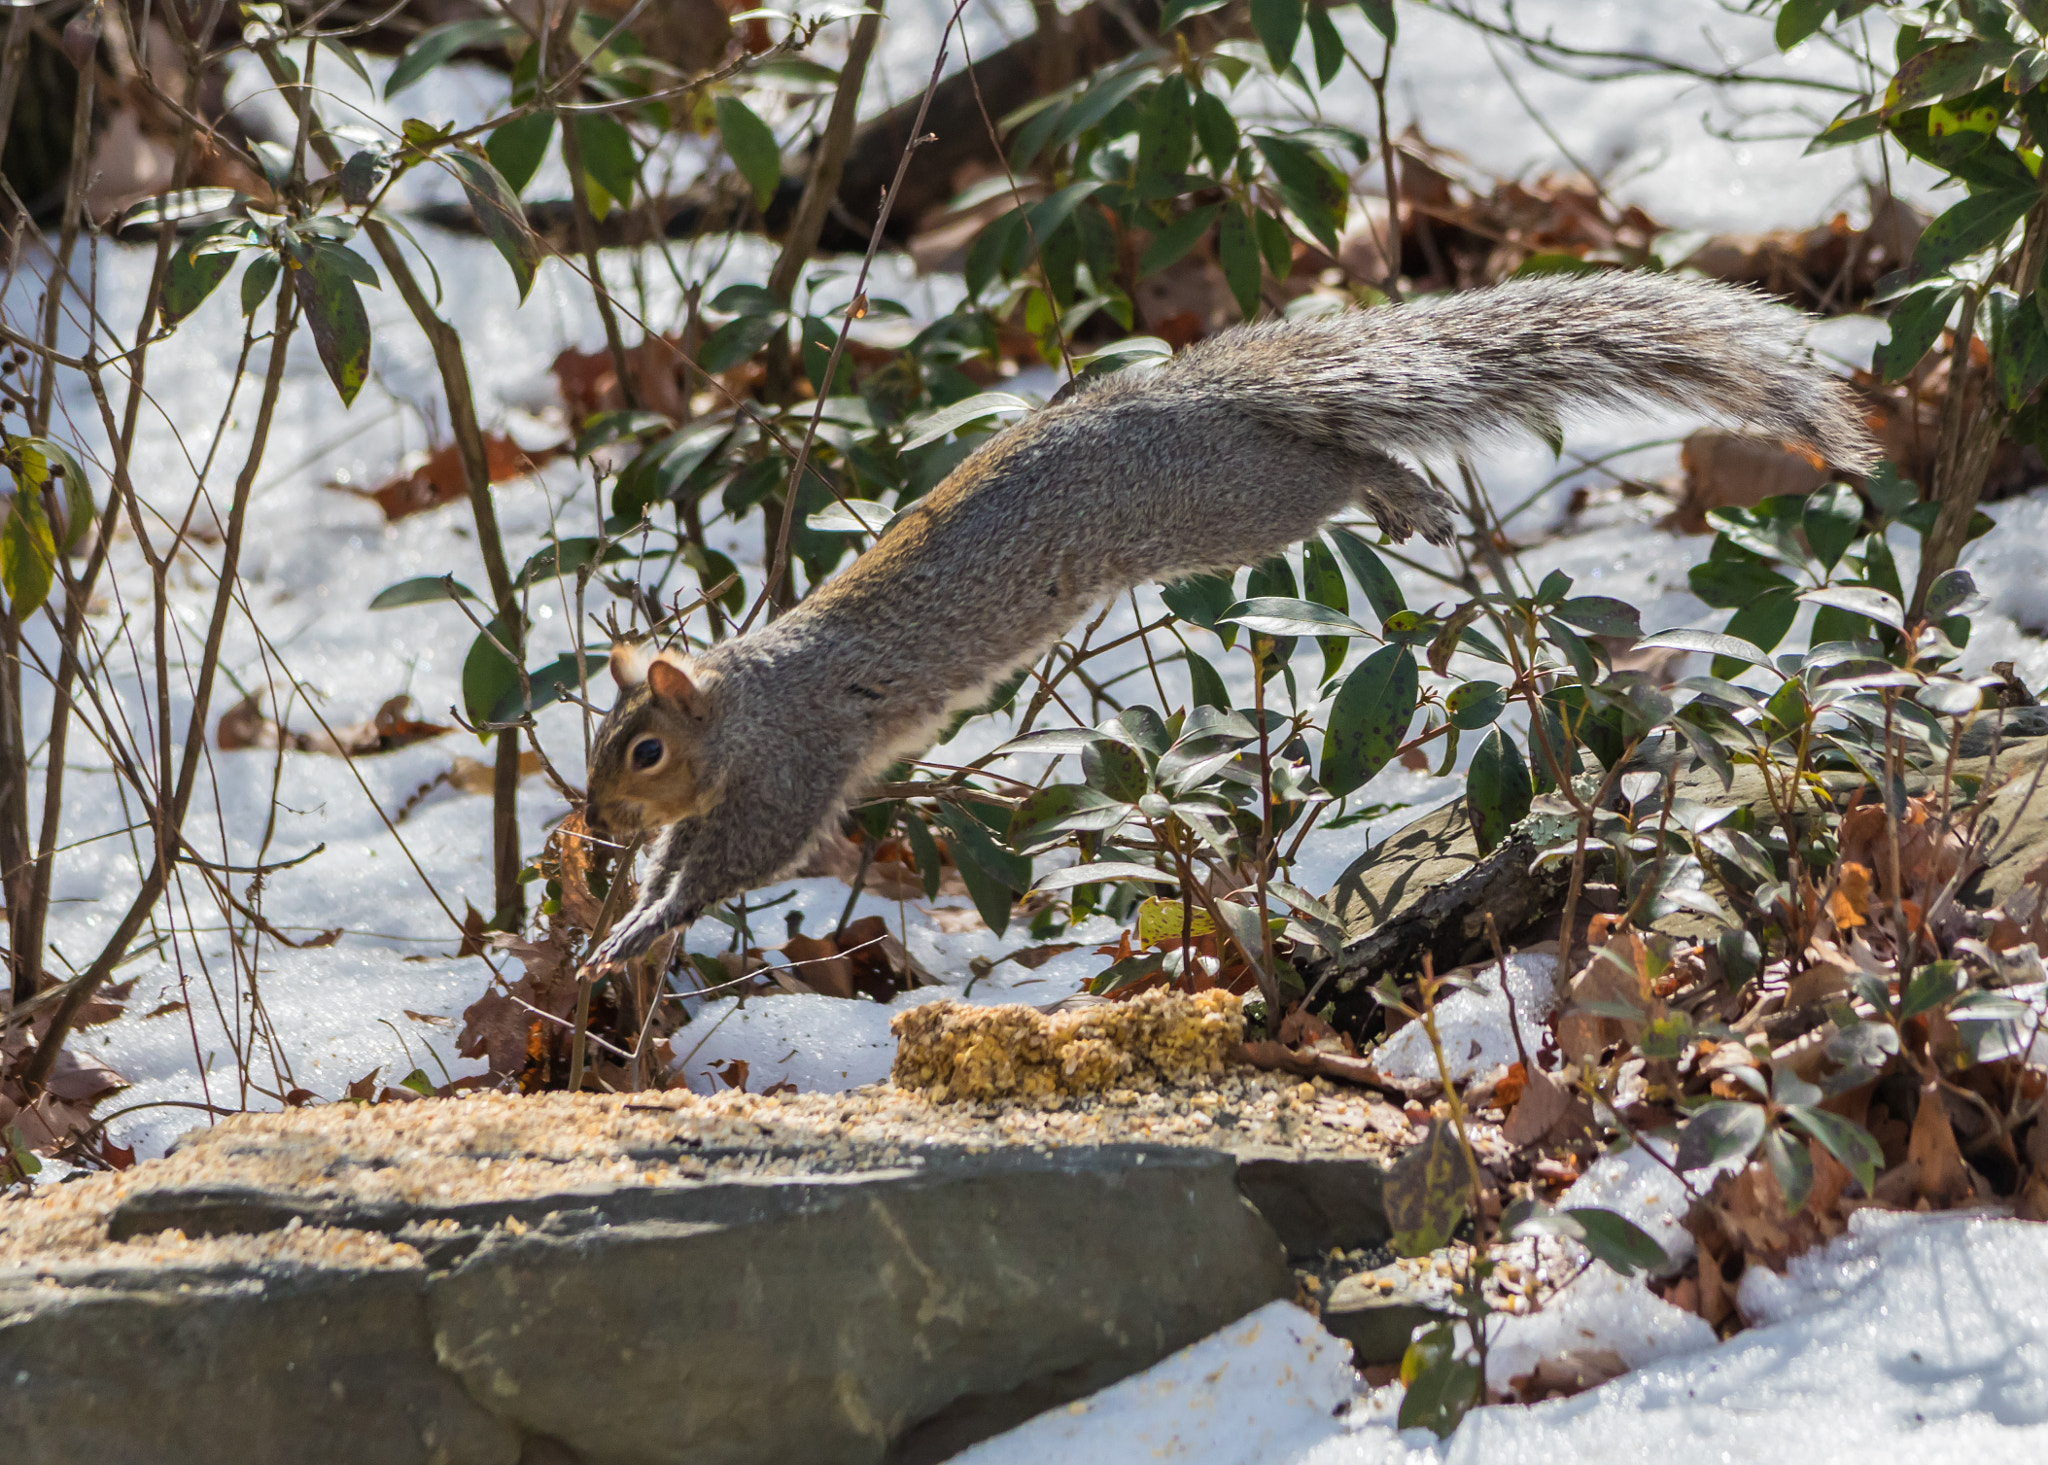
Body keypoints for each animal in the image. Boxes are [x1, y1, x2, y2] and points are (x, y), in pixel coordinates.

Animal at [577, 268, 1875, 967]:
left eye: (639, 748)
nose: (589, 817)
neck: (744, 698)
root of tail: (1189, 395)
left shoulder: (794, 761)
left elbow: (742, 856)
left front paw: (638, 926)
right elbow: (689, 853)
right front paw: (626, 913)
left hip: (1230, 502)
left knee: (1332, 462)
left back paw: (1397, 489)